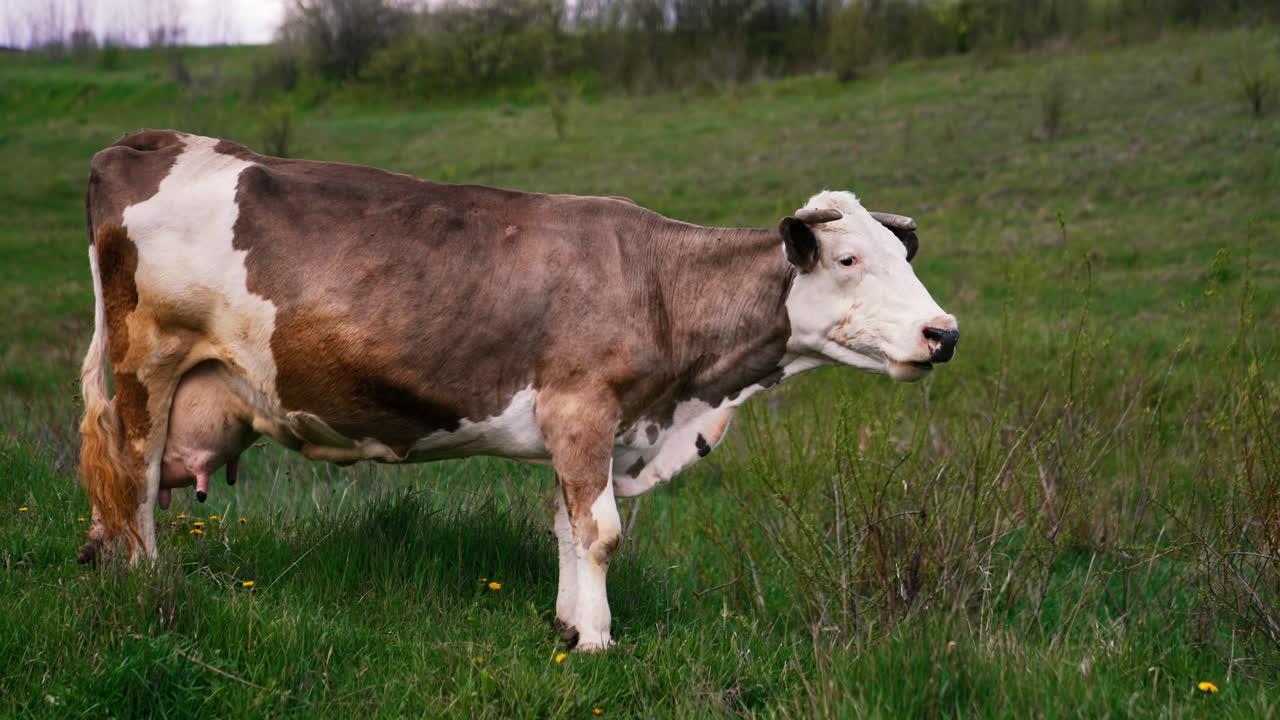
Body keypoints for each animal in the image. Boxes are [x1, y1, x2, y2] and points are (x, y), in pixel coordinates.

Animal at [77, 129, 958, 651]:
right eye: (848, 260)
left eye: (901, 257)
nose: (943, 332)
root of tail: (150, 140)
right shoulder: (583, 407)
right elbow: (600, 531)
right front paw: (599, 644)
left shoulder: (591, 429)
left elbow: (568, 527)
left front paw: (570, 625)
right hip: (148, 364)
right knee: (132, 473)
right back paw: (146, 584)